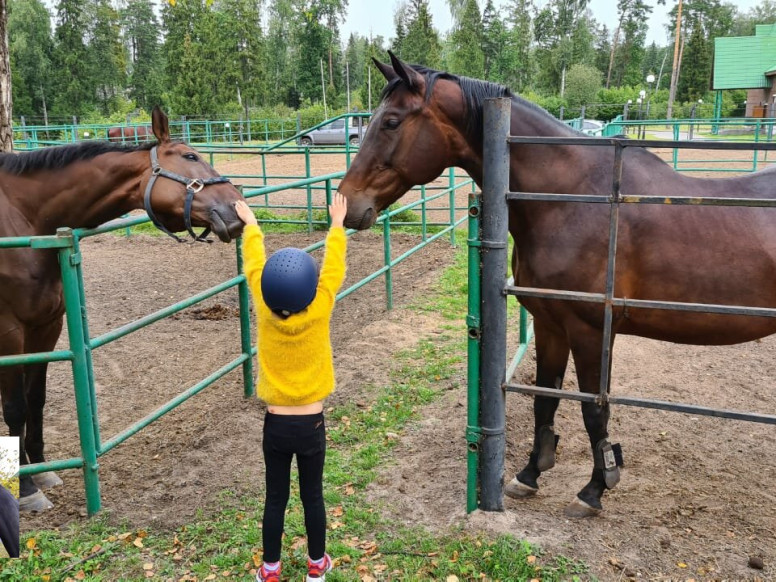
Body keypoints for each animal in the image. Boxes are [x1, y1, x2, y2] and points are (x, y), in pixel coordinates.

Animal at [0, 107, 244, 512]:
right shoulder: (10, 333)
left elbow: (37, 399)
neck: (24, 219)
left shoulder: (47, 326)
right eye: (190, 156)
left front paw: (43, 471)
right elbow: (16, 406)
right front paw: (28, 488)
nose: (239, 208)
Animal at [338, 53, 776, 520]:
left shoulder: (591, 333)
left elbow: (593, 411)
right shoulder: (550, 326)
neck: (573, 201)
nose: (347, 205)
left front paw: (595, 489)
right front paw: (530, 473)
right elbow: (544, 399)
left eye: (391, 122)